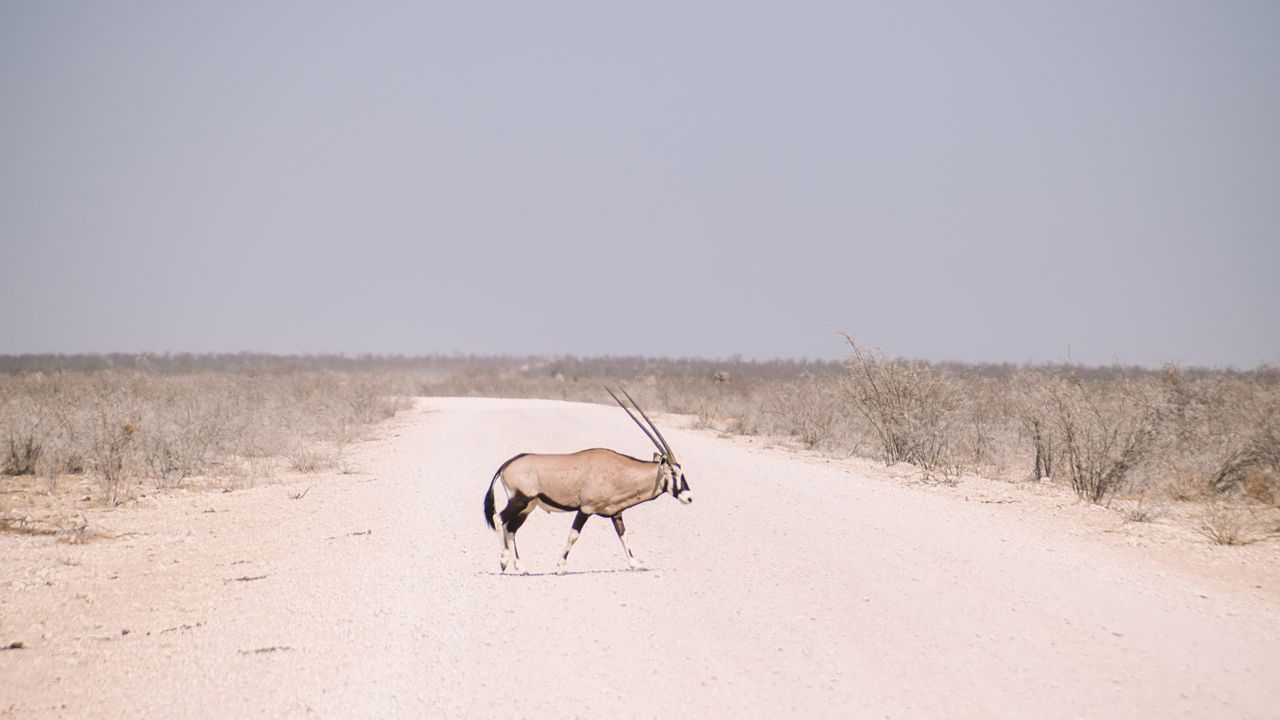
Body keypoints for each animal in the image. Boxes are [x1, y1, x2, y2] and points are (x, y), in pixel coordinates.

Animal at [483, 386, 696, 571]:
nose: (689, 497)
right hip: (520, 500)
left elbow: (624, 536)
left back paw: (520, 567)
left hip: (528, 506)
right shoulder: (585, 509)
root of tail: (507, 464)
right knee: (498, 518)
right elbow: (573, 535)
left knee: (511, 528)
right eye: (674, 472)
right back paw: (503, 560)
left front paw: (636, 564)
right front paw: (561, 566)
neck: (618, 471)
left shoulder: (616, 513)